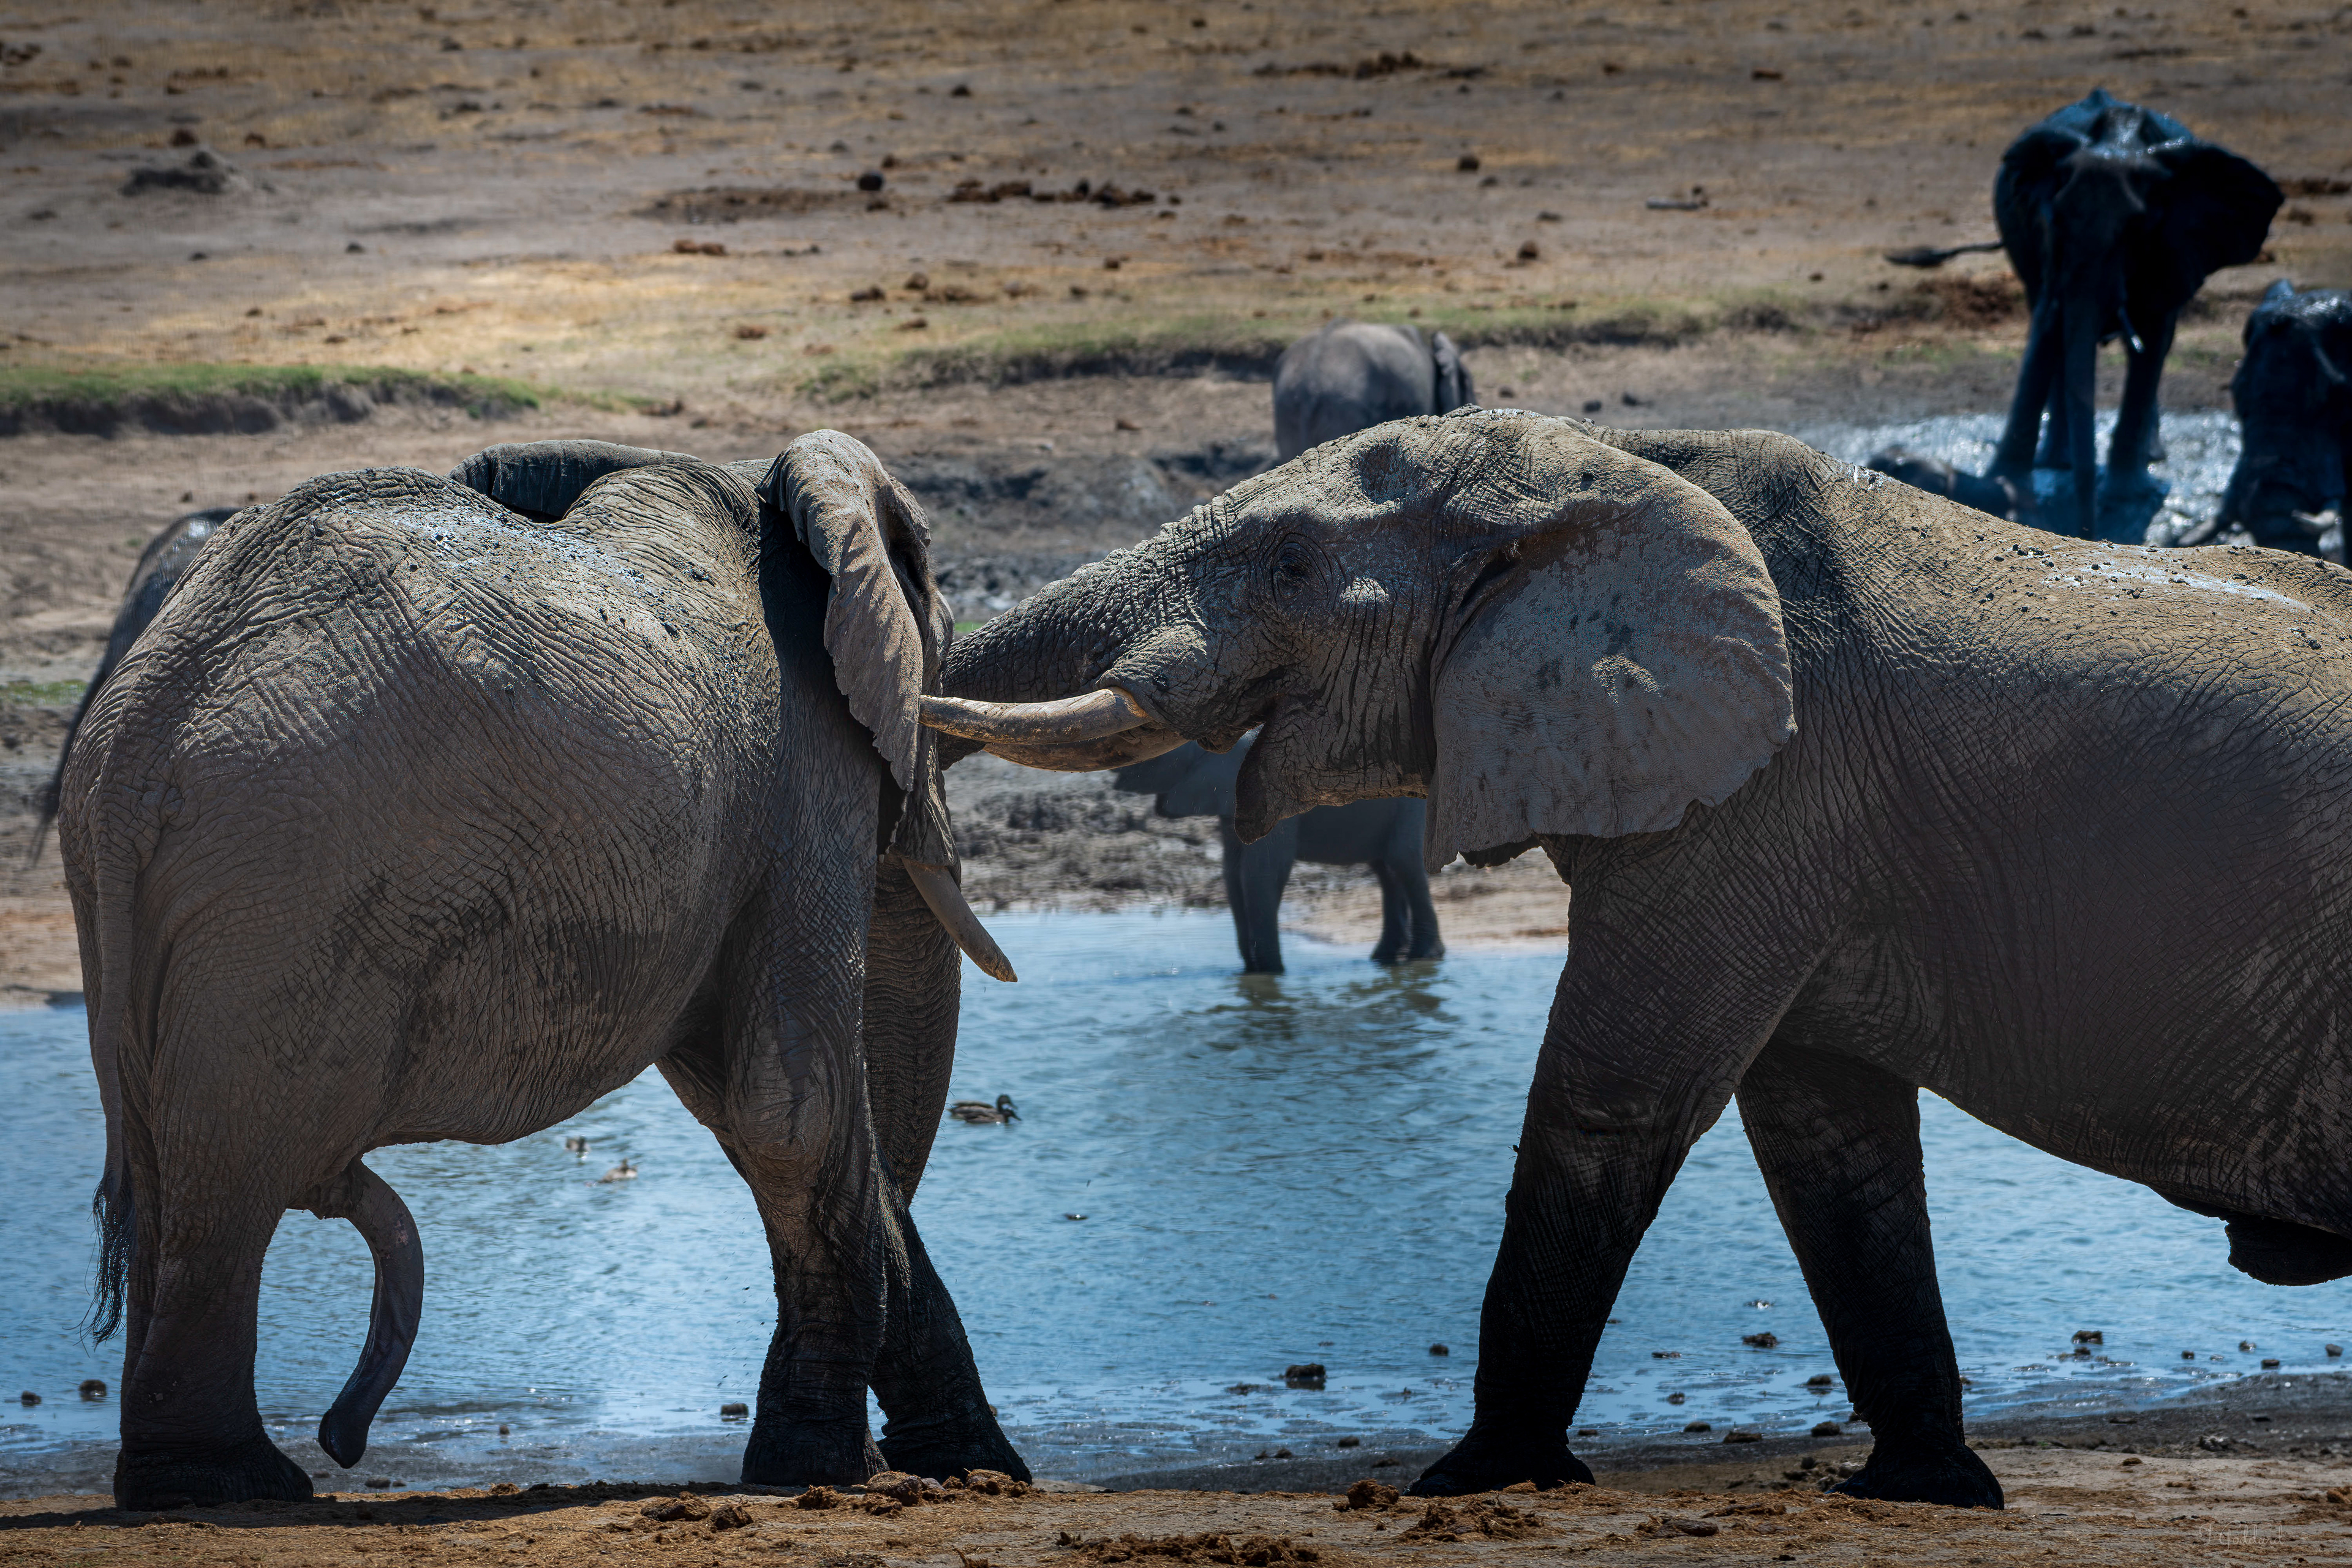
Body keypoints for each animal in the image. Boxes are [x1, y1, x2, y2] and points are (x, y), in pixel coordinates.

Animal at [54, 435, 1028, 1509]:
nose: (346, 1438)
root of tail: (136, 745)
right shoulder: (800, 778)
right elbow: (788, 1103)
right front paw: (828, 1471)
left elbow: (744, 1102)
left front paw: (967, 1467)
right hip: (278, 888)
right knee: (236, 1166)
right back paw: (237, 1481)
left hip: (151, 900)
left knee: (167, 1164)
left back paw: (207, 1480)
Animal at [1112, 736, 1442, 972]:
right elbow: (1233, 873)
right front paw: (1253, 974)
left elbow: (1262, 871)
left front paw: (1272, 975)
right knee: (1386, 869)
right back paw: (1384, 959)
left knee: (1403, 861)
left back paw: (1425, 957)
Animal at [1985, 88, 2280, 537]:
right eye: (2054, 216)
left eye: (2137, 228)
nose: (2085, 532)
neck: (2119, 143)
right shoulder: (2044, 244)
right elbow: (2048, 329)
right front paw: (2005, 491)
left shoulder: (2174, 242)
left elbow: (2152, 340)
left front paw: (2124, 499)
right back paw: (2057, 461)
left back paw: (2150, 454)